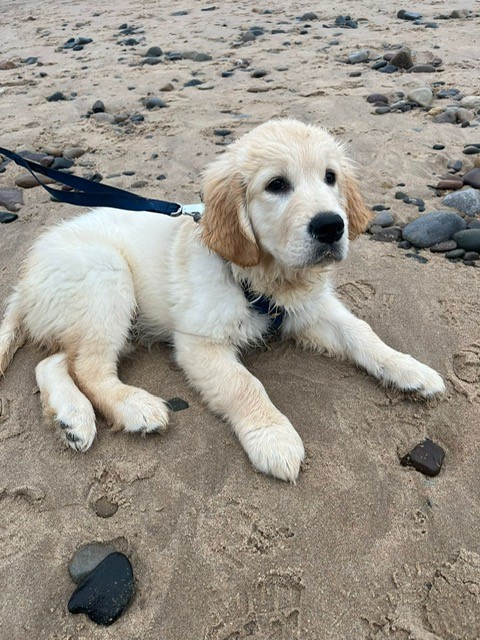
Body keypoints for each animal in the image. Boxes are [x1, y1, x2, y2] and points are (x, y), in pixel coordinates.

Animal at [0, 119, 444, 480]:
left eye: (330, 177)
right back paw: (134, 407)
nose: (332, 226)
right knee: (88, 368)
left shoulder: (311, 308)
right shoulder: (199, 341)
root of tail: (25, 280)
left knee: (53, 361)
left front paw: (409, 369)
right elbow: (244, 384)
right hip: (105, 277)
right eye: (276, 185)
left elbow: (361, 332)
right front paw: (273, 436)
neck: (264, 278)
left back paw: (71, 419)